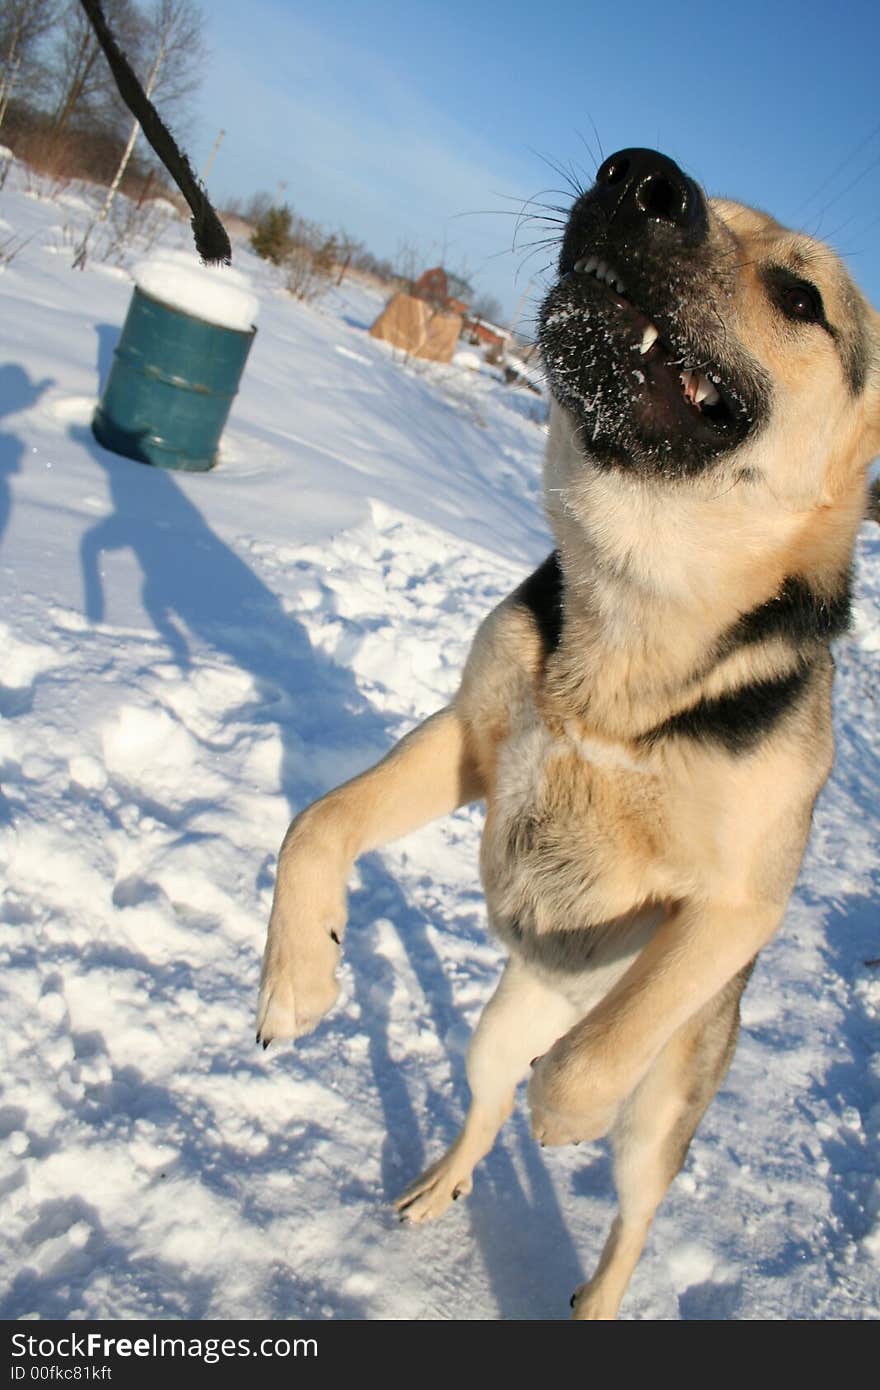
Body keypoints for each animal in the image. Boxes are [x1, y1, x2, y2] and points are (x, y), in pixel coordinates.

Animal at [255, 146, 878, 1317]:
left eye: (801, 297)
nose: (639, 177)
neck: (638, 609)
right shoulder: (470, 738)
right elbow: (315, 822)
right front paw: (298, 975)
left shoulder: (738, 903)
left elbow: (610, 1042)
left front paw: (569, 1109)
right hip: (496, 1028)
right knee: (491, 1095)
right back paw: (443, 1182)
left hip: (662, 1112)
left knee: (631, 1207)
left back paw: (593, 1291)